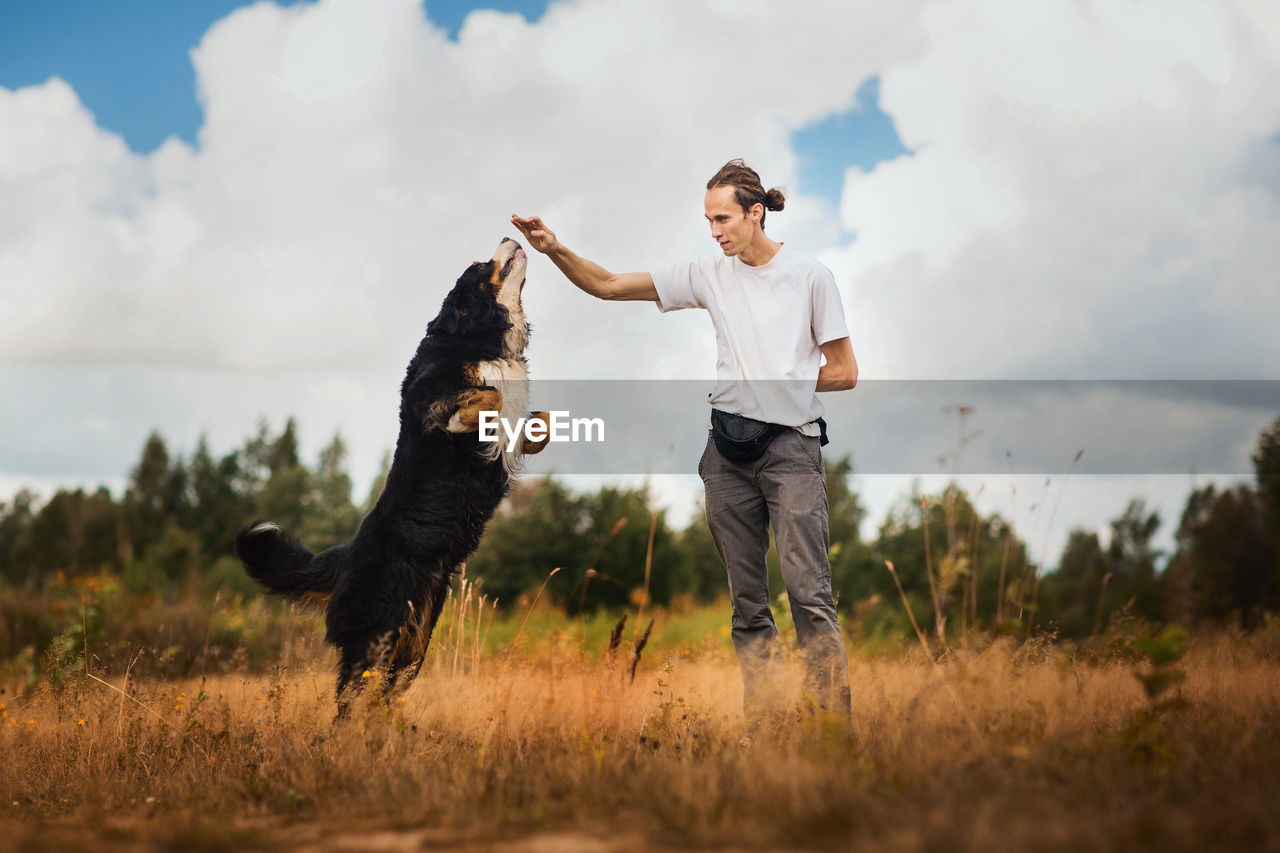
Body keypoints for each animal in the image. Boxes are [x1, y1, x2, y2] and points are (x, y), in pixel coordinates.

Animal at [235, 236, 545, 712]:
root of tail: (344, 557)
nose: (511, 235)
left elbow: (534, 419)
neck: (480, 339)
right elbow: (486, 395)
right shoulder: (430, 398)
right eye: (479, 266)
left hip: (411, 648)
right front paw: (474, 415)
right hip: (375, 640)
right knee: (348, 705)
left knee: (380, 700)